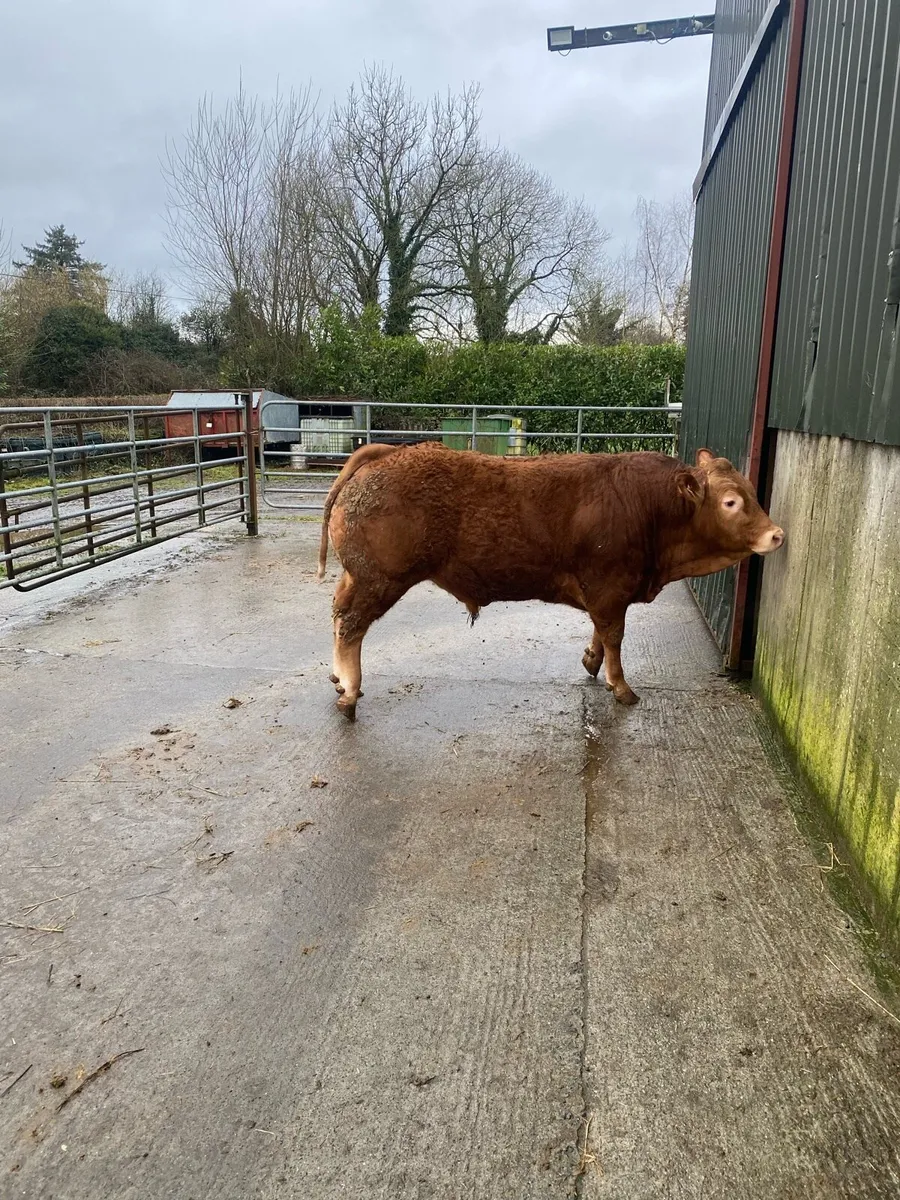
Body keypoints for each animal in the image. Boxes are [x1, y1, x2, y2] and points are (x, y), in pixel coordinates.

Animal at [317, 443, 784, 720]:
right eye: (731, 501)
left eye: (751, 492)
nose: (777, 534)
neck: (649, 506)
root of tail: (386, 451)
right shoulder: (611, 588)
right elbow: (615, 635)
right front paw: (621, 686)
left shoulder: (606, 593)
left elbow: (601, 632)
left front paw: (592, 661)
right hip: (380, 579)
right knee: (351, 625)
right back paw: (350, 690)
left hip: (358, 576)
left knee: (338, 612)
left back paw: (338, 678)